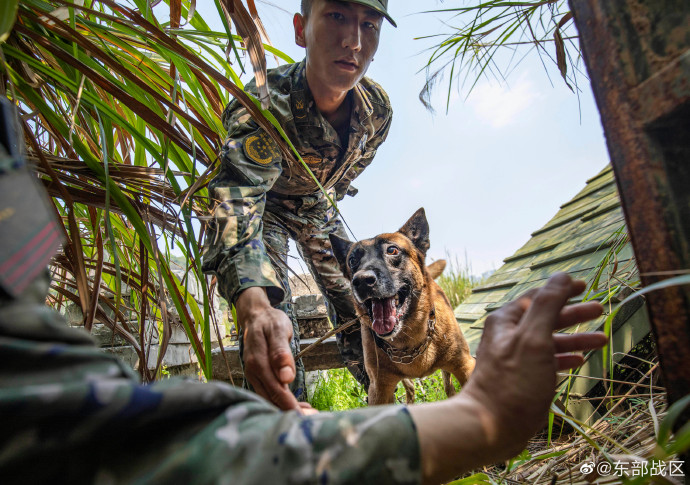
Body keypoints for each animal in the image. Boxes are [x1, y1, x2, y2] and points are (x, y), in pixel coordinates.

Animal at [328, 208, 472, 404]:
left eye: (392, 250)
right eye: (352, 260)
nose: (362, 281)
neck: (409, 339)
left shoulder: (465, 366)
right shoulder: (378, 389)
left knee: (448, 385)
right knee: (410, 389)